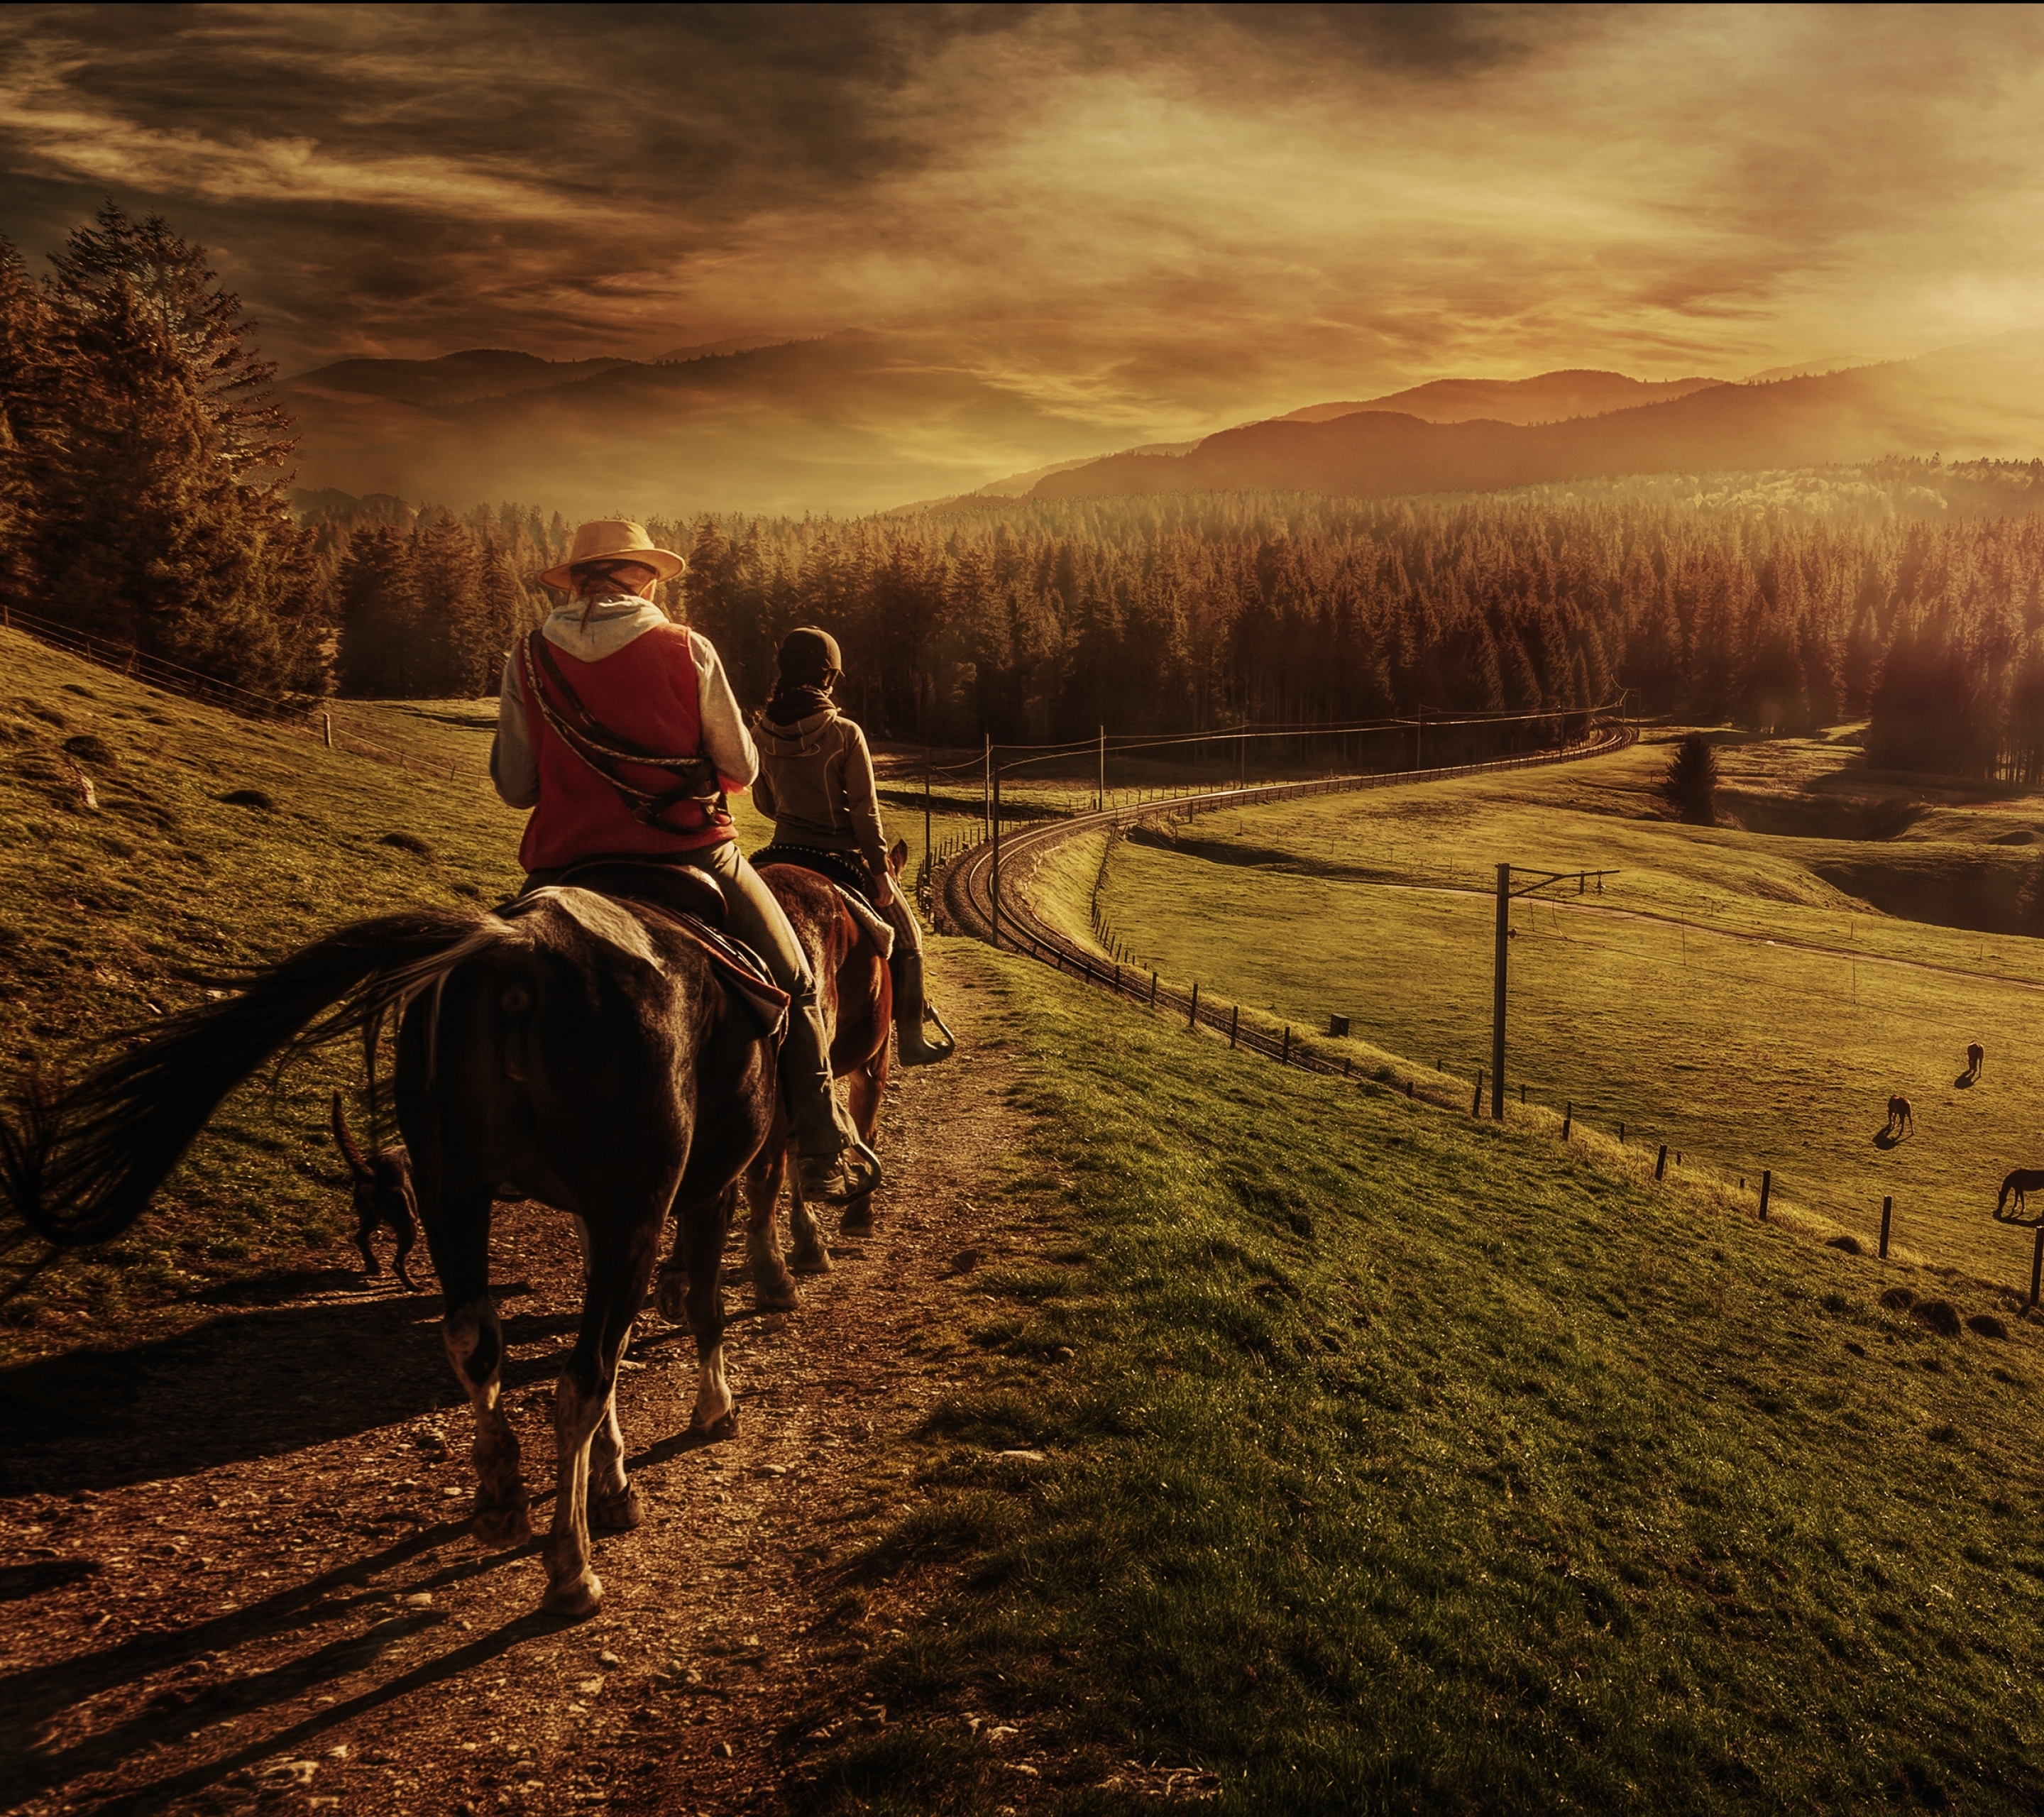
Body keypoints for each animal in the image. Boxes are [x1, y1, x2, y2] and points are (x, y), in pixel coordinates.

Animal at [0, 886, 781, 1610]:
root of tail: (522, 940)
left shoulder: (599, 1215)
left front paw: (614, 1481)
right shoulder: (698, 1194)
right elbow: (701, 1308)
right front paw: (712, 1410)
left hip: (454, 1191)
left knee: (475, 1338)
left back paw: (502, 1500)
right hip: (626, 1208)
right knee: (580, 1379)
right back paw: (569, 1567)